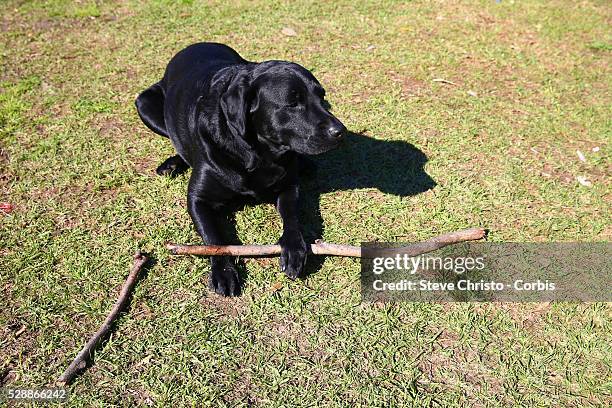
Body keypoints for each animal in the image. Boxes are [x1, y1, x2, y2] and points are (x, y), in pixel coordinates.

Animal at [137, 42, 346, 296]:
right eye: (292, 102)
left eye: (321, 97)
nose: (340, 131)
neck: (256, 153)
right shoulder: (198, 199)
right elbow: (215, 239)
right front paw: (224, 271)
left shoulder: (289, 186)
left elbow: (292, 216)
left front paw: (294, 247)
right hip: (145, 104)